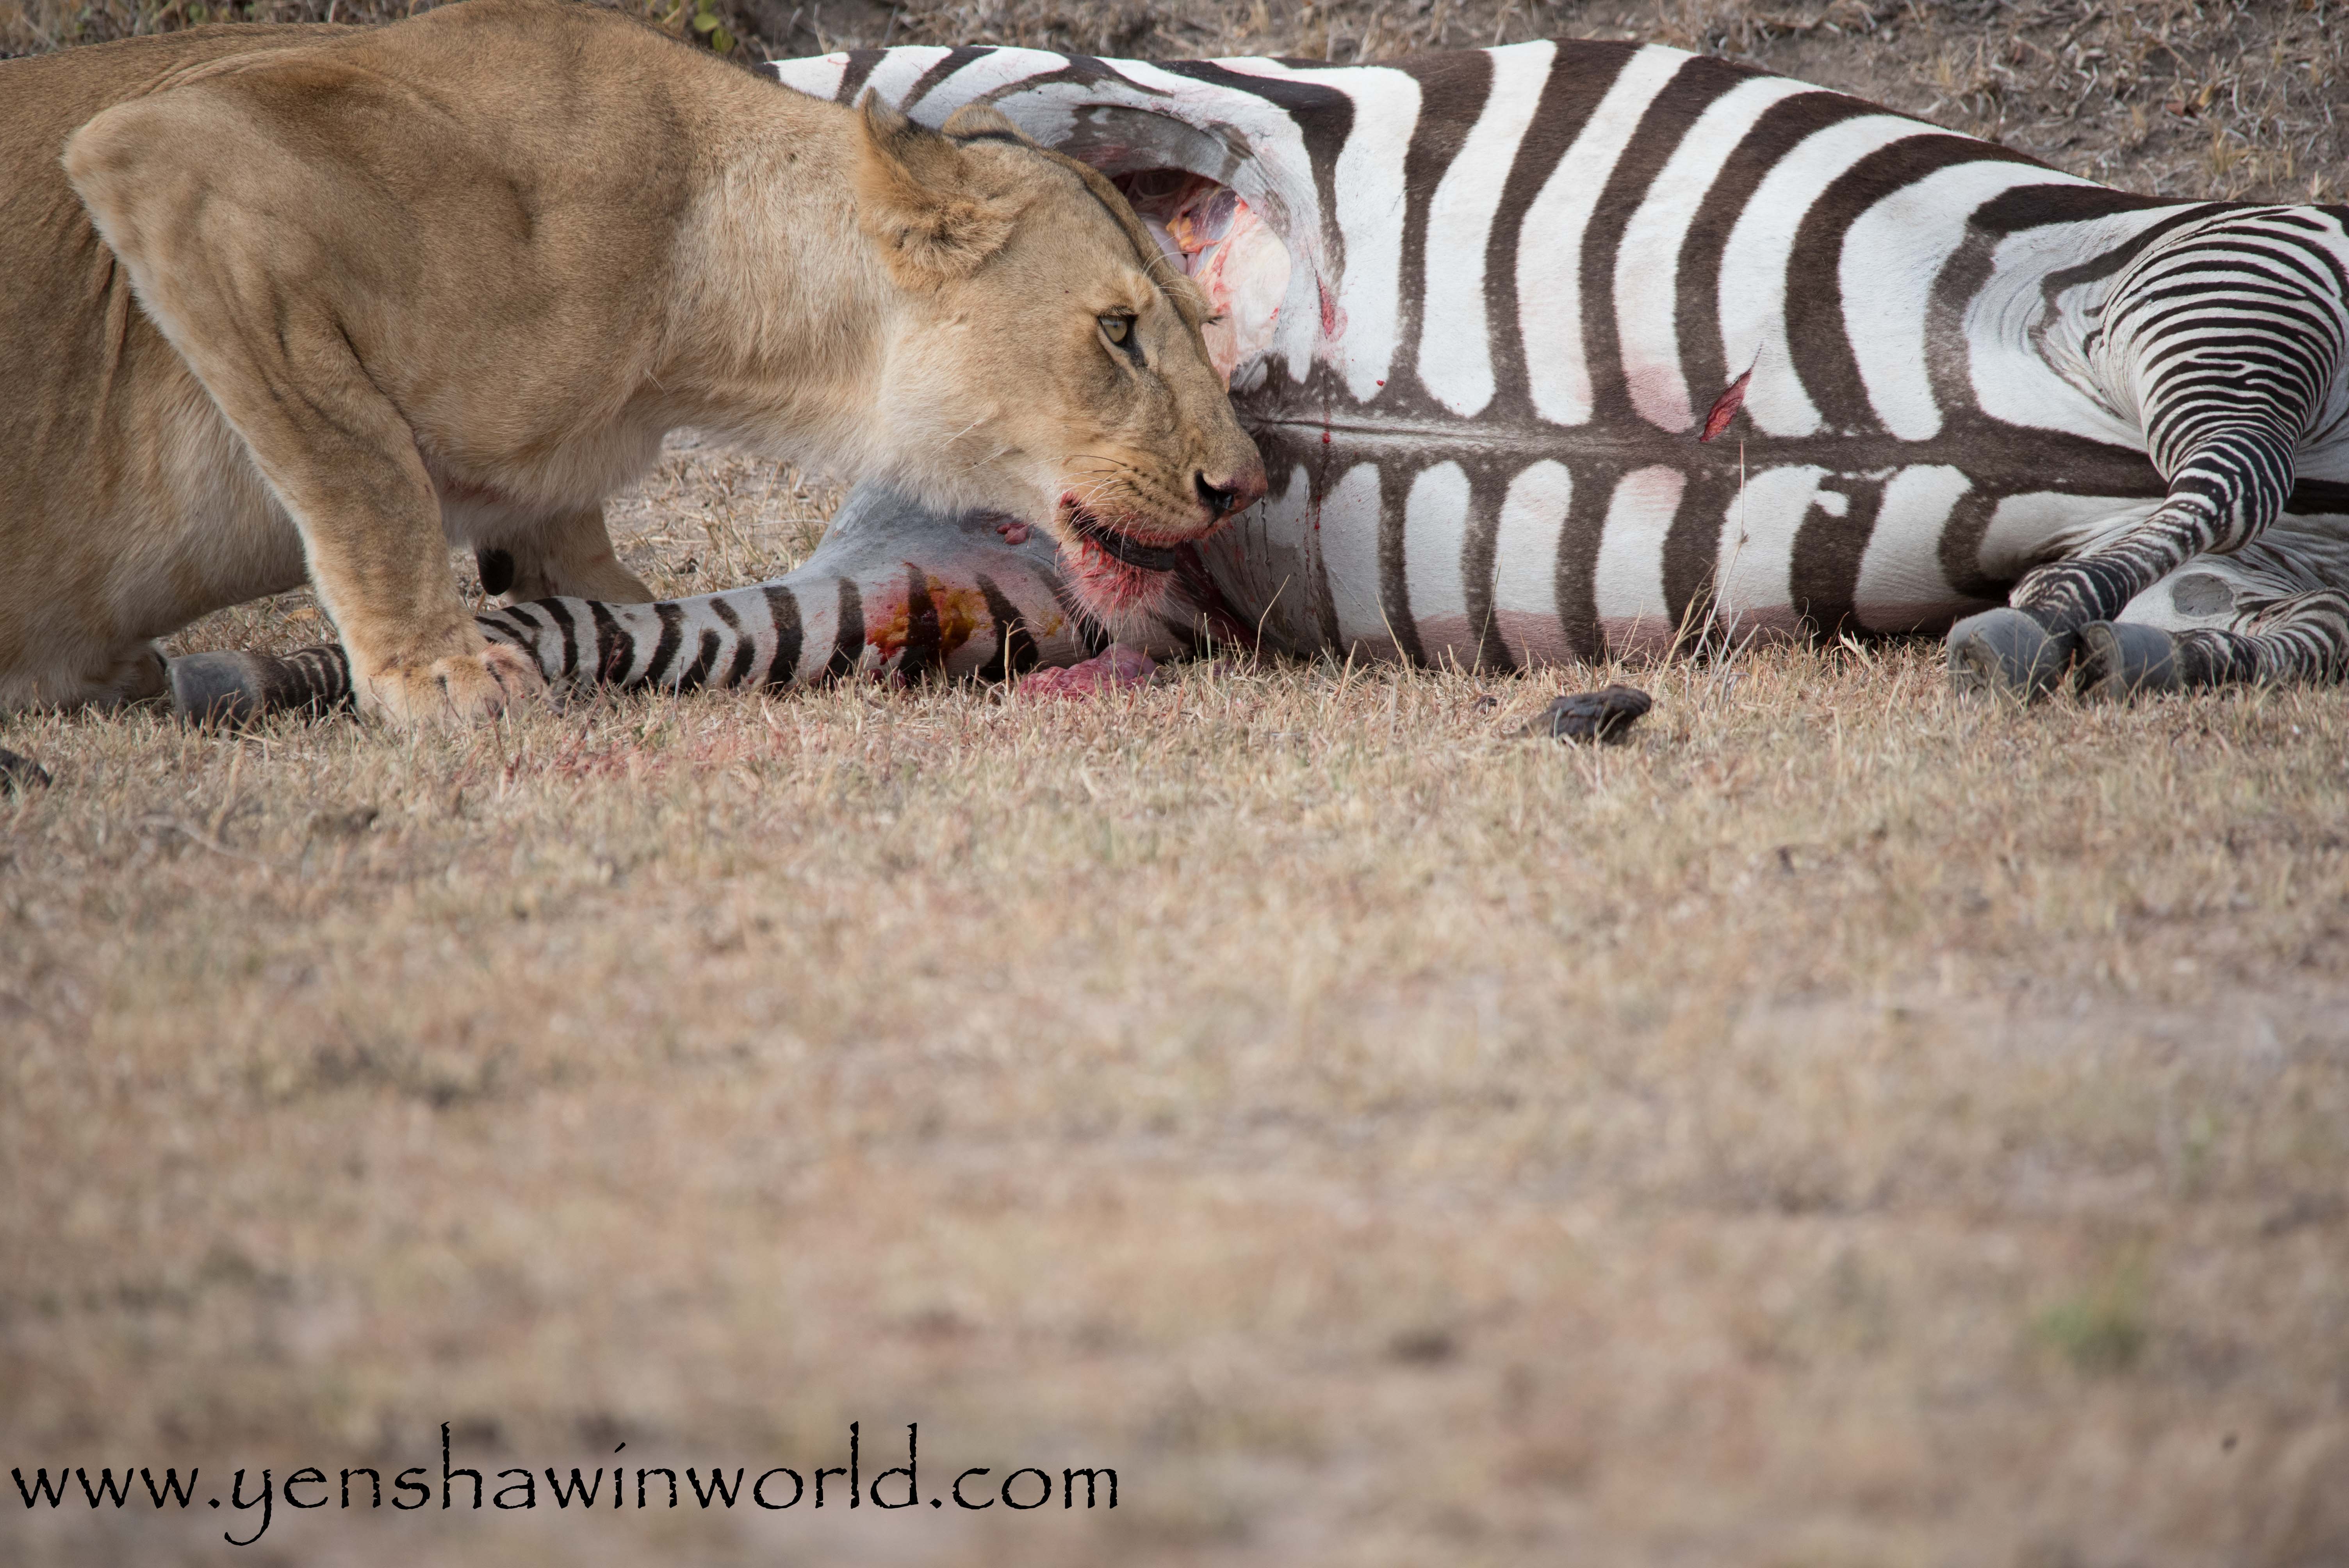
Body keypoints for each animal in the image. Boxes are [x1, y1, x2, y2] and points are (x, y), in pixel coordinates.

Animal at [168, 36, 2349, 720]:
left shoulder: (1147, 110)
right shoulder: (989, 575)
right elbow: (663, 631)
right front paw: (328, 667)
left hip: (2209, 272)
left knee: (2217, 468)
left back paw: (2046, 619)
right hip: (2265, 466)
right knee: (2265, 590)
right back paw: (2117, 637)